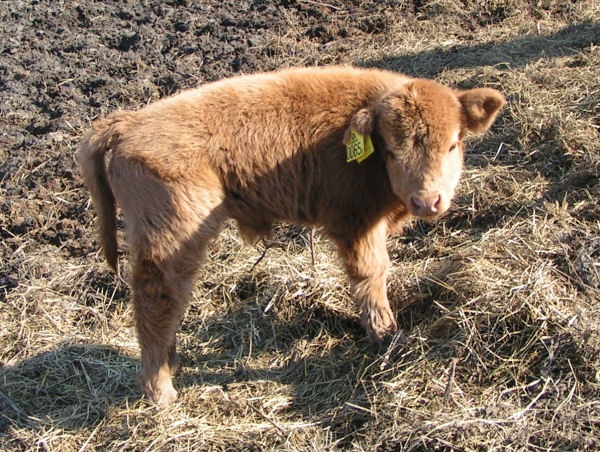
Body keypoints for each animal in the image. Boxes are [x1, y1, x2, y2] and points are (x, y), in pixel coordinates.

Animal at [77, 66, 504, 402]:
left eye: (453, 145)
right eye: (392, 152)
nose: (427, 201)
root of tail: (130, 121)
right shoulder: (355, 223)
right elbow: (372, 273)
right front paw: (386, 335)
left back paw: (172, 365)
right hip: (171, 238)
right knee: (157, 300)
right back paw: (160, 391)